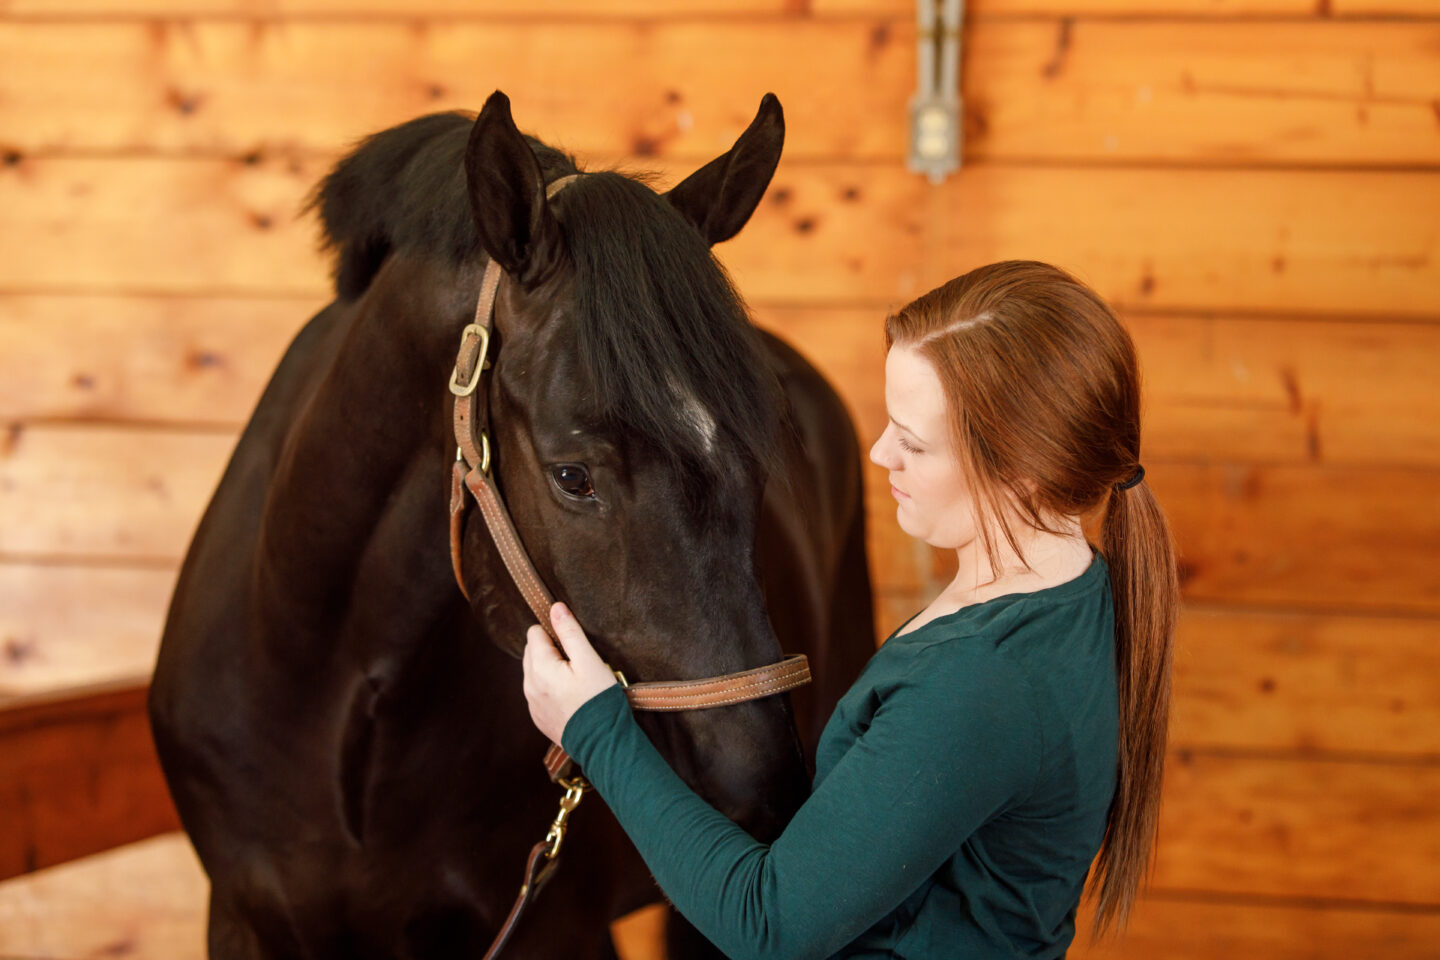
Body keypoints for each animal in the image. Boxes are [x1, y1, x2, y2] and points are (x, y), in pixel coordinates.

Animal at [149, 92, 864, 960]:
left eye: (759, 469)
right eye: (573, 476)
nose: (764, 791)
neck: (330, 697)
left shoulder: (553, 929)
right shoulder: (242, 918)